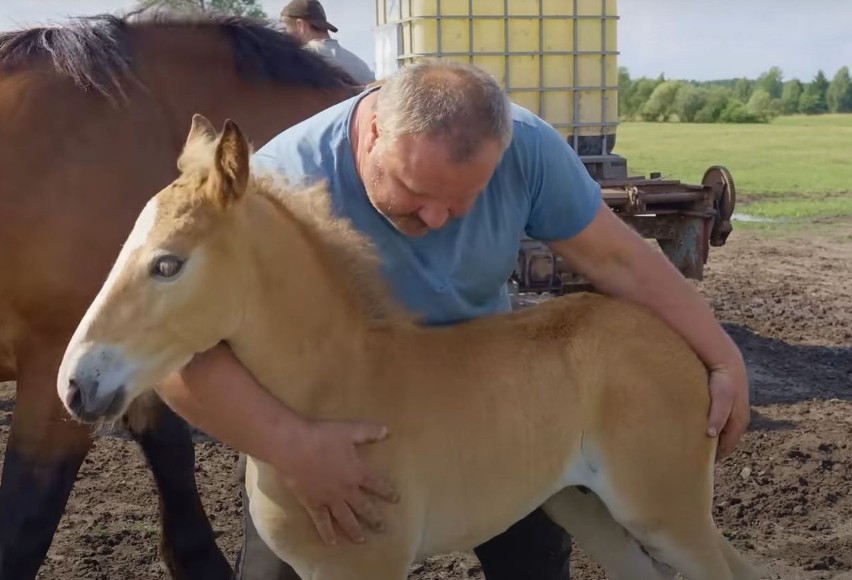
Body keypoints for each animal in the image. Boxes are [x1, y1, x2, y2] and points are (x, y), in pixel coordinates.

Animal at [56, 115, 760, 576]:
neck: (338, 393)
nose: (75, 384)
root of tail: (688, 347)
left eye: (167, 265)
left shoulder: (371, 567)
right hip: (588, 507)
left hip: (665, 513)